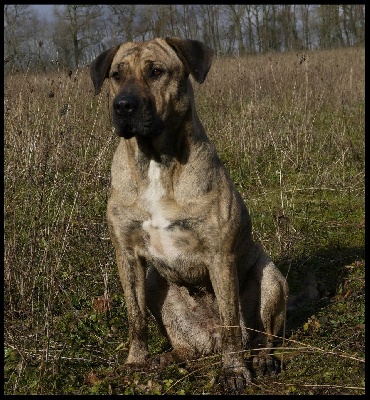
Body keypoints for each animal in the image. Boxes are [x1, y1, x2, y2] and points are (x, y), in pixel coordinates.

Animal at [90, 37, 290, 394]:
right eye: (116, 75)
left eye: (156, 72)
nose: (123, 106)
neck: (155, 160)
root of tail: (207, 339)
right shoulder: (127, 254)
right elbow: (135, 317)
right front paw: (135, 362)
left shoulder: (219, 255)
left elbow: (230, 323)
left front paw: (233, 372)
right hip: (157, 285)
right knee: (184, 346)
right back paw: (166, 358)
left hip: (271, 279)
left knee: (260, 336)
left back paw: (262, 360)